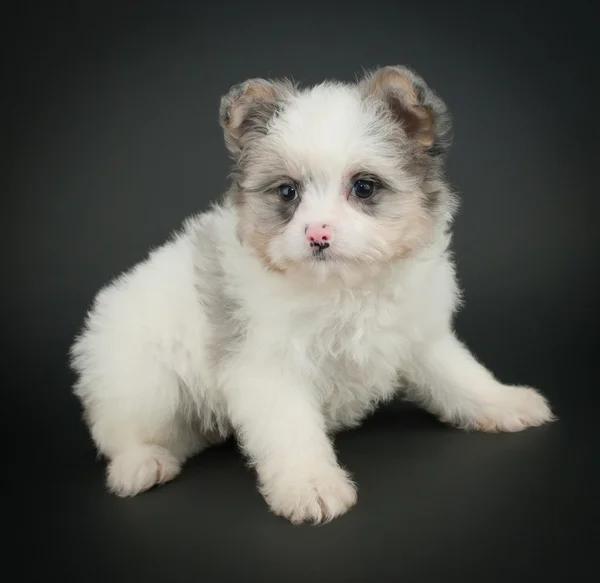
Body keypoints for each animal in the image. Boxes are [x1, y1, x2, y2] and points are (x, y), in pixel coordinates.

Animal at [69, 65, 552, 524]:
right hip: (142, 380)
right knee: (121, 430)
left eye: (364, 187)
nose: (318, 234)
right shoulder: (269, 367)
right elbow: (291, 430)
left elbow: (459, 375)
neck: (343, 286)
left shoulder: (418, 337)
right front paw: (310, 486)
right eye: (288, 192)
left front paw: (504, 402)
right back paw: (140, 464)